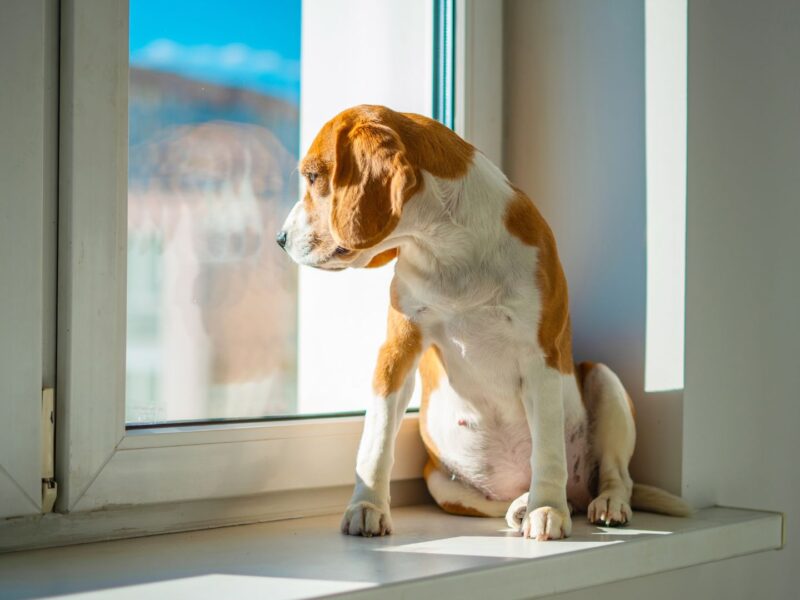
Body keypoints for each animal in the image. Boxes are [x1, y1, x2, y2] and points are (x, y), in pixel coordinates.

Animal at [278, 105, 692, 540]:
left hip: (604, 379)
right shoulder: (397, 351)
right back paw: (521, 505)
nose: (280, 239)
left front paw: (547, 509)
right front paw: (367, 506)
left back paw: (598, 503)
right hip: (440, 483)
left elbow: (548, 450)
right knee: (499, 507)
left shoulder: (541, 357)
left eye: (313, 177)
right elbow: (376, 440)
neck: (449, 249)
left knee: (616, 477)